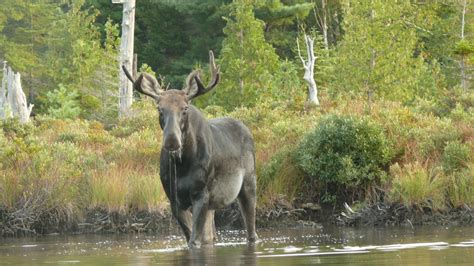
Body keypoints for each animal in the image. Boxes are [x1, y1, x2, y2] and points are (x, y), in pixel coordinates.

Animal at [121, 51, 256, 248]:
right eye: (159, 109)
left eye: (185, 108)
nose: (172, 140)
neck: (182, 165)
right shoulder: (174, 199)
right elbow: (192, 238)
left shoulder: (201, 194)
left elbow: (194, 241)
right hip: (213, 205)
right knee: (211, 236)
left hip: (248, 184)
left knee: (251, 232)